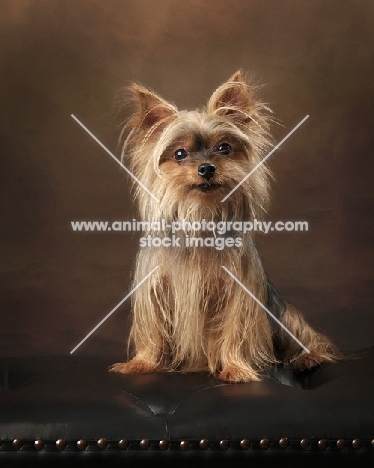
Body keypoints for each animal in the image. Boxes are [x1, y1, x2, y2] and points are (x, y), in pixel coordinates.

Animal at [109, 71, 340, 382]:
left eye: (224, 148)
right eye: (180, 154)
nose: (207, 168)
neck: (201, 216)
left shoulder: (239, 291)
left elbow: (234, 329)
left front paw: (235, 368)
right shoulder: (155, 291)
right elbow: (153, 332)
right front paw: (140, 364)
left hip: (284, 314)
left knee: (309, 341)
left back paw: (308, 358)